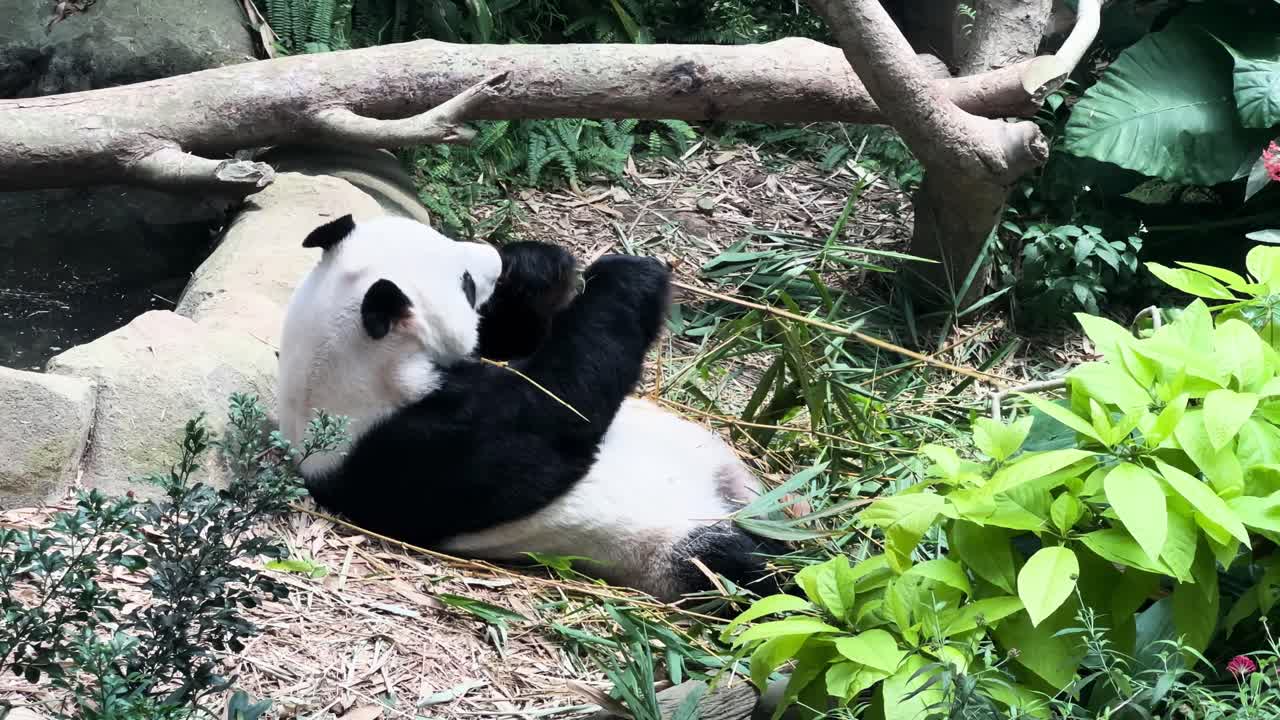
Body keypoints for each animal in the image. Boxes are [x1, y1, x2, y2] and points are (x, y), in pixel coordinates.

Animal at [276, 213, 792, 601]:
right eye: (466, 284)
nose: (491, 259)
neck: (333, 364)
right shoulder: (415, 451)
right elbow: (558, 416)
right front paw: (630, 275)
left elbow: (520, 339)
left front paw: (536, 265)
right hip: (666, 544)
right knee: (735, 568)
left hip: (747, 489)